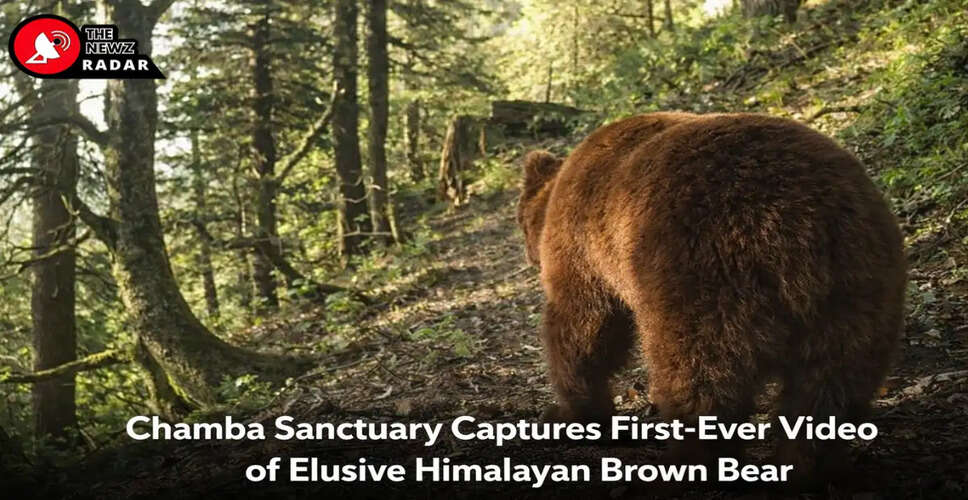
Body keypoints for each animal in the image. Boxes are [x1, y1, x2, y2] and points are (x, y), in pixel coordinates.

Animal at [517, 112, 906, 485]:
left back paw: (688, 462)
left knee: (701, 374)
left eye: (520, 222)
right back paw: (808, 467)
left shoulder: (583, 248)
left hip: (701, 273)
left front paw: (565, 413)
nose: (528, 255)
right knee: (831, 386)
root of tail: (803, 229)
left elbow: (583, 328)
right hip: (858, 290)